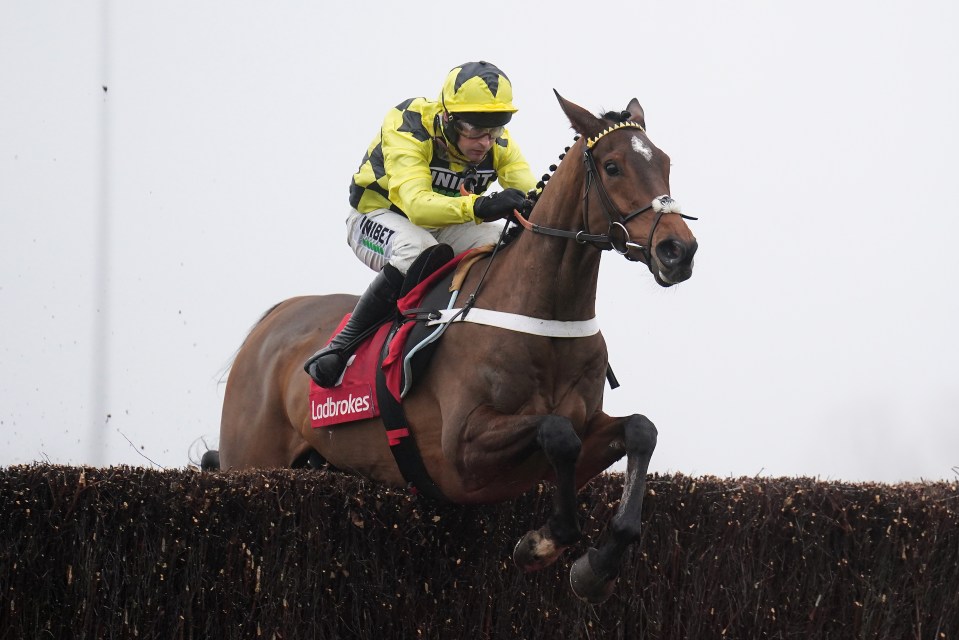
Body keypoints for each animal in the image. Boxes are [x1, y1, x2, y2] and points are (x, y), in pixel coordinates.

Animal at [208, 92, 696, 604]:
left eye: (665, 162)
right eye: (612, 166)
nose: (678, 251)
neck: (543, 317)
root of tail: (271, 321)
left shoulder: (585, 433)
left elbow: (640, 430)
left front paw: (596, 565)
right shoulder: (461, 452)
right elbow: (557, 432)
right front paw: (542, 543)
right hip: (250, 460)